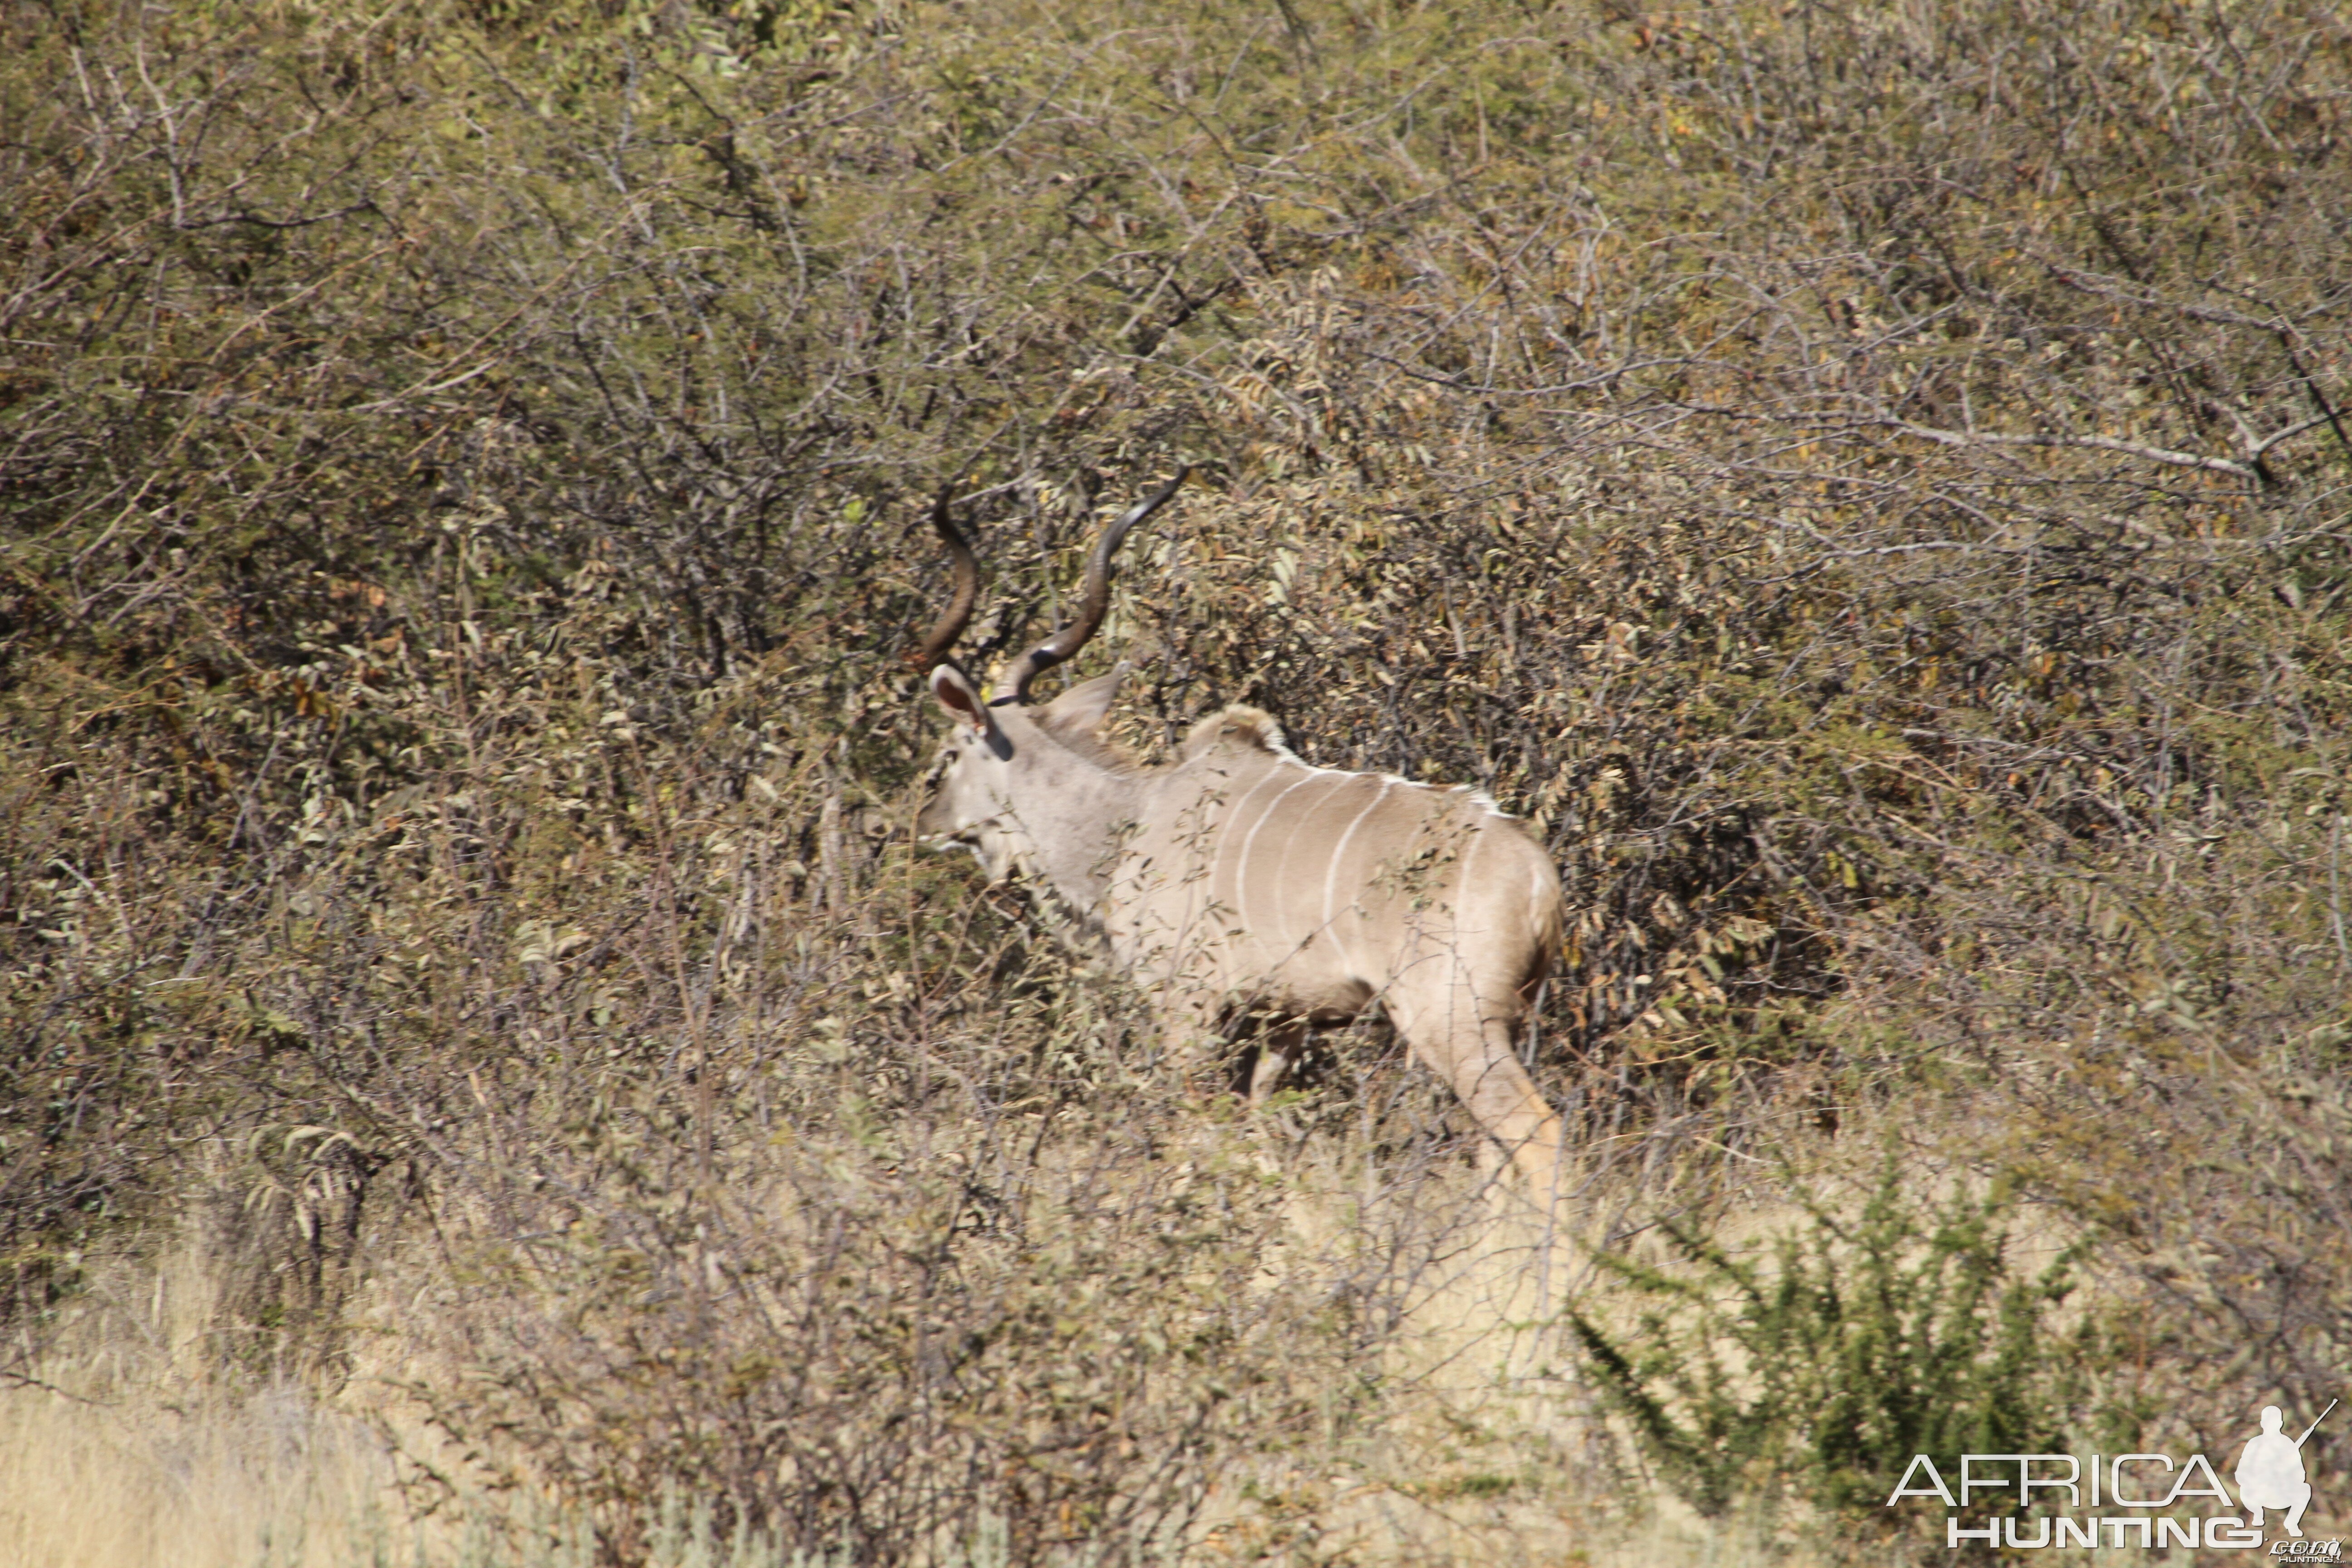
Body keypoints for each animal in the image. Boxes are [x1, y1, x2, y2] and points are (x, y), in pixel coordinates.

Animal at [912, 472, 1562, 1194]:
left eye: (948, 755)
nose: (925, 824)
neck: (1127, 822)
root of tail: (1538, 877)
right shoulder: (1285, 1020)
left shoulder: (1186, 1005)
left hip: (1455, 1021)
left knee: (1534, 1130)